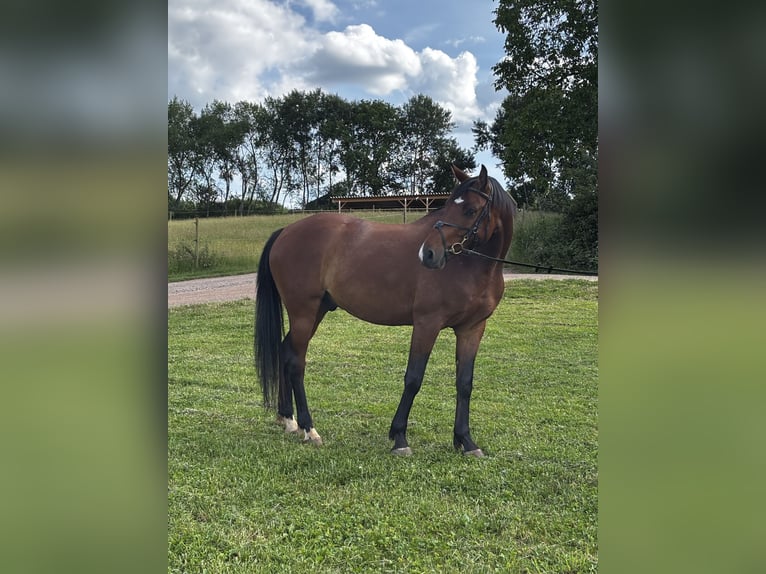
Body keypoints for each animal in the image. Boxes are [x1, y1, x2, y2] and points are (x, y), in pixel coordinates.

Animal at [254, 164, 517, 456]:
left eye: (470, 210)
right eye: (448, 205)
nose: (428, 254)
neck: (470, 266)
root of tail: (286, 231)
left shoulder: (472, 328)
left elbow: (465, 383)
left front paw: (466, 441)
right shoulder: (427, 323)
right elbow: (413, 378)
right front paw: (399, 437)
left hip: (316, 312)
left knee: (285, 351)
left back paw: (288, 419)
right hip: (304, 312)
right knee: (296, 363)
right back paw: (309, 429)